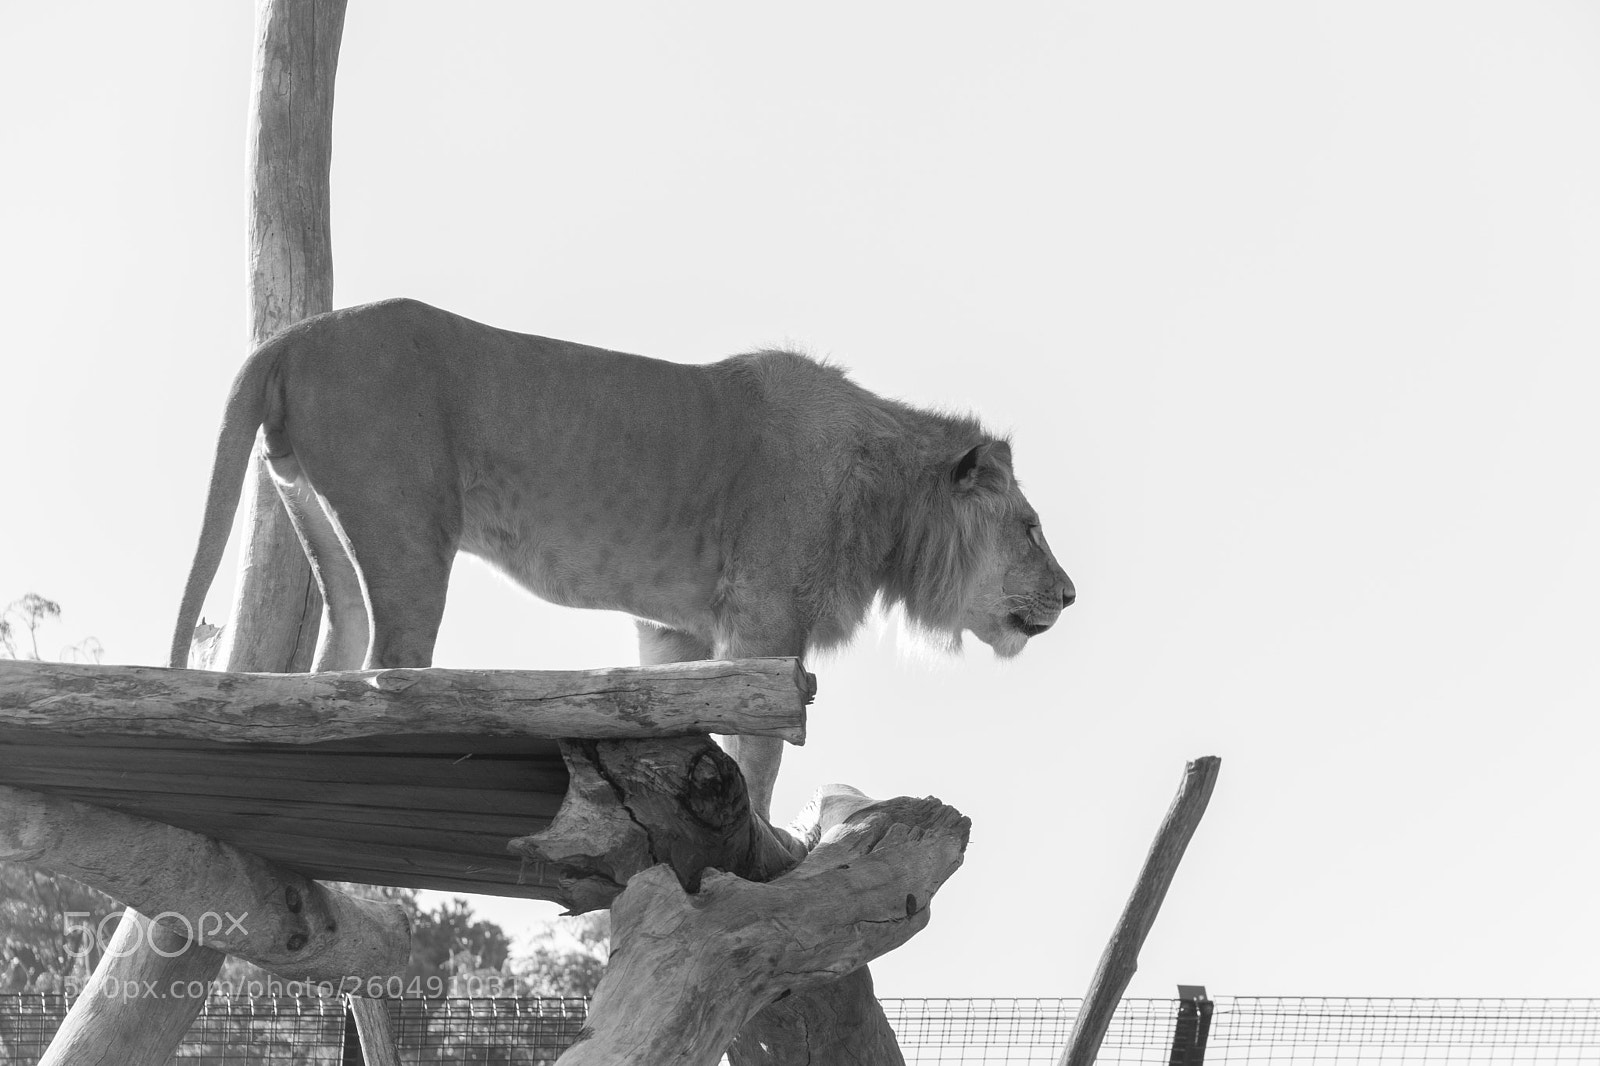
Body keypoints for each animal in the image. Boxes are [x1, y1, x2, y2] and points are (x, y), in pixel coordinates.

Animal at [172, 298, 1073, 817]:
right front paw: (768, 844)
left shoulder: (678, 629)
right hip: (407, 533)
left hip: (316, 517)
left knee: (327, 675)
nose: (1070, 595)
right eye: (1030, 527)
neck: (886, 495)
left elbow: (699, 726)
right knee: (390, 676)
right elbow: (762, 751)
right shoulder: (766, 622)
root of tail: (292, 334)